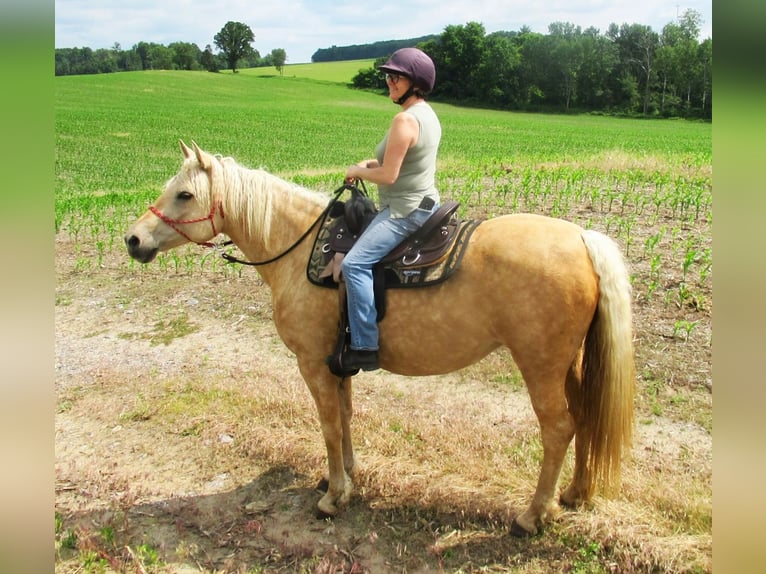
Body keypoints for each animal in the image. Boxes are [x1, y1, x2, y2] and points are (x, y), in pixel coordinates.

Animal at [124, 142, 636, 536]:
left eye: (185, 194)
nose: (132, 240)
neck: (299, 249)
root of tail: (582, 238)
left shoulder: (312, 363)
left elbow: (329, 425)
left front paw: (334, 496)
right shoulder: (339, 363)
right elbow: (346, 416)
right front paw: (345, 477)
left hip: (540, 366)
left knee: (559, 428)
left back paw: (532, 516)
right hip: (571, 364)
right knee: (586, 417)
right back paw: (575, 493)